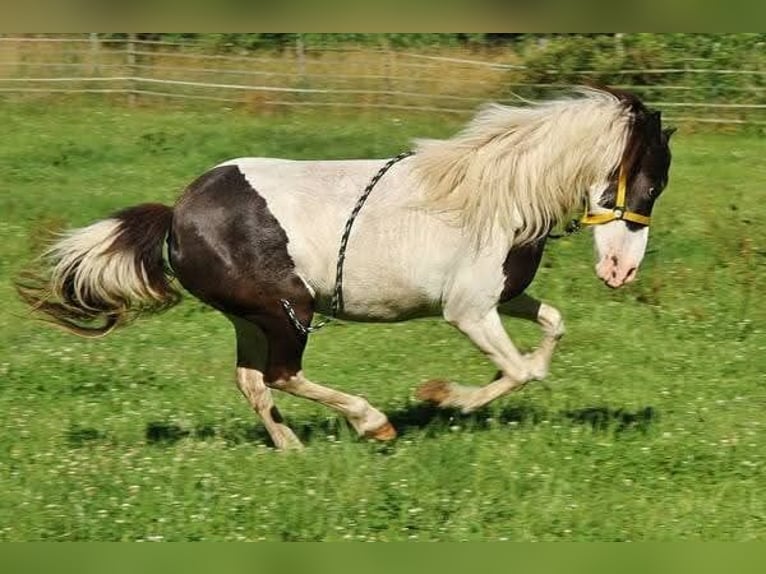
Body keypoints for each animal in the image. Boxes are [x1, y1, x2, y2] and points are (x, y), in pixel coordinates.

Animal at [17, 86, 674, 449]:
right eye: (649, 182)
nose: (620, 271)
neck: (494, 200)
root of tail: (177, 213)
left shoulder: (503, 299)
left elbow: (551, 331)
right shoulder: (467, 312)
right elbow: (518, 372)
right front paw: (442, 398)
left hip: (249, 318)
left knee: (252, 382)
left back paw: (292, 448)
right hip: (288, 310)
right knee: (281, 375)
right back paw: (372, 423)